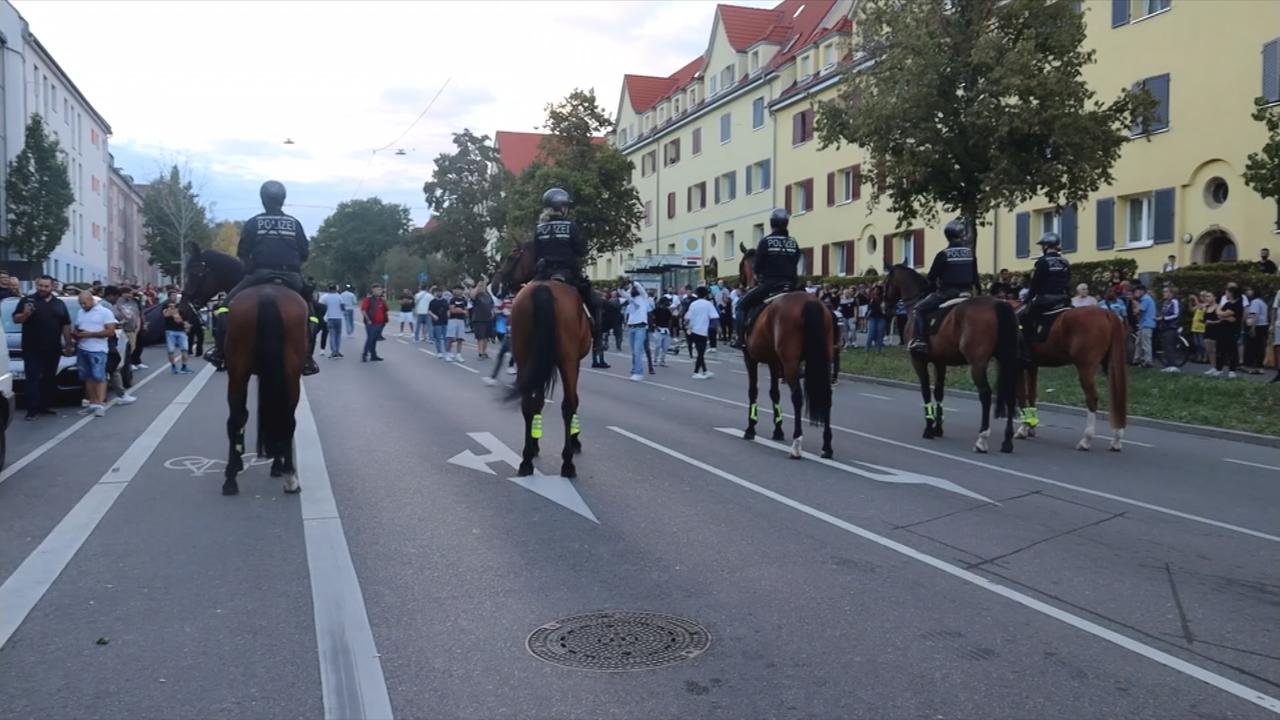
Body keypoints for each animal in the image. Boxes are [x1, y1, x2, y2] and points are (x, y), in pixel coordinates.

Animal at [491, 240, 591, 476]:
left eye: (511, 257)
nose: (494, 286)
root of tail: (544, 289)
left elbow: (538, 401)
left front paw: (534, 444)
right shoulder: (573, 362)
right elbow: (571, 401)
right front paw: (575, 440)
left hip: (524, 357)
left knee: (527, 402)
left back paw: (526, 460)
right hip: (567, 361)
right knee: (568, 405)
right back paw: (568, 463)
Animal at [737, 245, 834, 456]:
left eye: (741, 265)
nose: (740, 282)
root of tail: (810, 302)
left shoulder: (750, 358)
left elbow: (753, 391)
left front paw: (750, 429)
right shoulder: (774, 361)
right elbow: (774, 393)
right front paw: (778, 430)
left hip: (791, 363)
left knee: (797, 396)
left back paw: (797, 443)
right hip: (823, 360)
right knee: (827, 397)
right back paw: (827, 446)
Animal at [885, 263, 1013, 453]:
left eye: (887, 281)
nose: (885, 307)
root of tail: (998, 304)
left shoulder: (918, 361)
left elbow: (925, 391)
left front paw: (929, 429)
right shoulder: (940, 362)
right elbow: (939, 391)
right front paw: (938, 428)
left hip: (977, 364)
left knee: (985, 394)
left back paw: (982, 439)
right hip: (1008, 361)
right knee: (1011, 393)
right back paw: (1007, 441)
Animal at [1013, 302, 1126, 448]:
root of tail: (1107, 313)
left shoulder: (1018, 366)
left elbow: (1021, 396)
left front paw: (1023, 428)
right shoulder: (1032, 367)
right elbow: (1031, 395)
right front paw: (1031, 426)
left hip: (1085, 368)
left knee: (1092, 398)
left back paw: (1086, 440)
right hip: (1110, 365)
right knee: (1117, 398)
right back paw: (1116, 440)